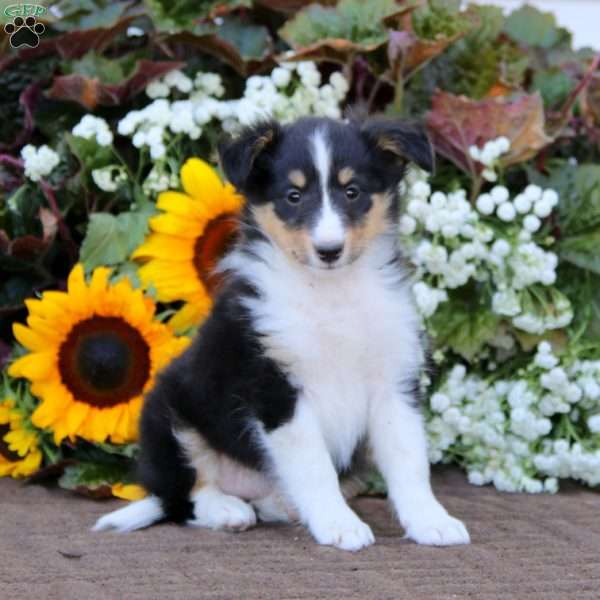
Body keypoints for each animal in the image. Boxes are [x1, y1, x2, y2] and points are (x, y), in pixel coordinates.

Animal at [92, 115, 468, 552]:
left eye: (352, 191)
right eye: (293, 196)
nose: (329, 251)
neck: (331, 292)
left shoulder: (393, 380)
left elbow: (410, 462)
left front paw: (431, 522)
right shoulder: (276, 388)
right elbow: (315, 467)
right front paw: (340, 525)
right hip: (167, 411)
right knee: (182, 497)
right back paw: (229, 510)